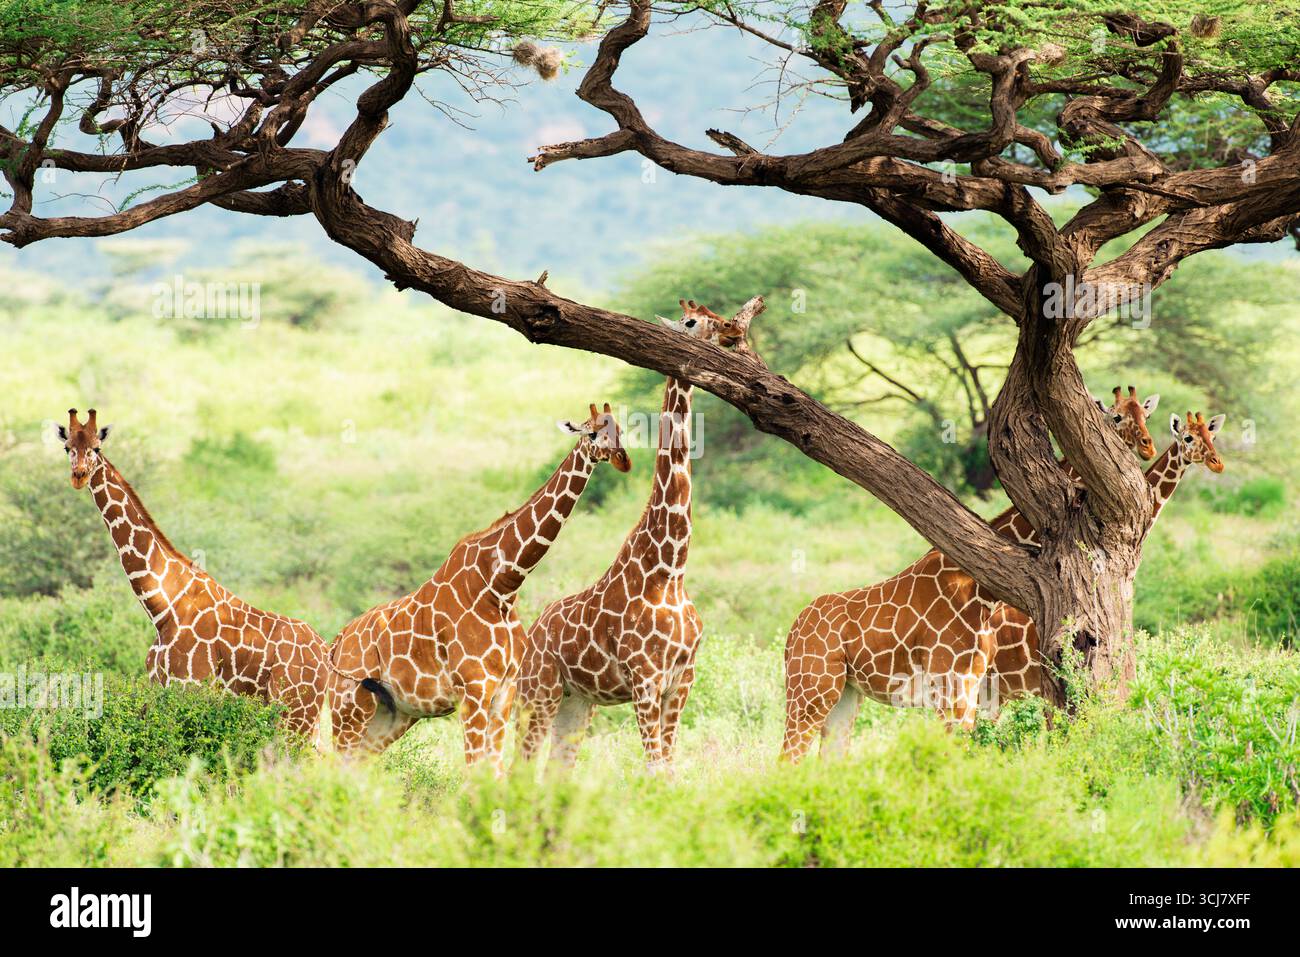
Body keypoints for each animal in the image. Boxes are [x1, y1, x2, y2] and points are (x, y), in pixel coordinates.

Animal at [59, 409, 331, 745]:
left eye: (96, 448)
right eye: (68, 448)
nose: (79, 476)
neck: (162, 605)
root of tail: (326, 656)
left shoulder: (190, 686)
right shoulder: (158, 686)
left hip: (295, 714)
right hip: (308, 721)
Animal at [328, 402, 632, 767]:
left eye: (620, 430)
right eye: (592, 433)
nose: (623, 460)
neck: (502, 585)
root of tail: (337, 643)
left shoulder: (503, 691)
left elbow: (493, 768)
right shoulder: (474, 689)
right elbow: (475, 769)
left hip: (394, 713)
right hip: (349, 706)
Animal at [515, 297, 762, 773]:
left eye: (713, 315)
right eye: (691, 321)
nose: (728, 329)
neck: (669, 568)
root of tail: (531, 635)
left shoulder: (682, 680)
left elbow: (670, 767)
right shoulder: (645, 681)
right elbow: (654, 770)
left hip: (578, 700)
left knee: (556, 768)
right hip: (540, 691)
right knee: (520, 760)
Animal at [780, 387, 1163, 760]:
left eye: (1146, 414)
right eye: (1115, 416)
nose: (1148, 445)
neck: (981, 593)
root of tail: (792, 632)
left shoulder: (972, 688)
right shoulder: (952, 688)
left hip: (845, 693)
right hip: (811, 689)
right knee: (788, 758)